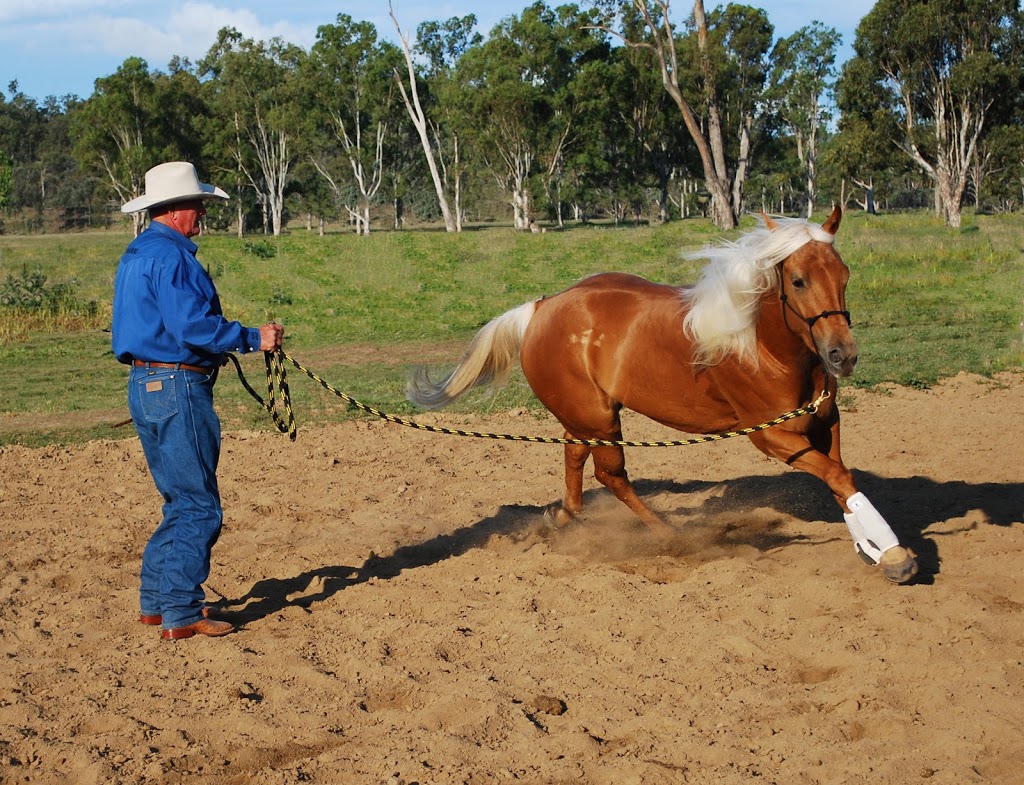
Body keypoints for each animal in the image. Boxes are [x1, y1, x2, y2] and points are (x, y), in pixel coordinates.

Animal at [405, 205, 921, 585]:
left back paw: (562, 518)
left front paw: (872, 547)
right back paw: (673, 535)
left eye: (844, 273)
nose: (842, 356)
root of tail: (540, 308)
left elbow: (840, 479)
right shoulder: (774, 439)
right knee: (610, 474)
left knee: (575, 458)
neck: (764, 347)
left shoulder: (825, 423)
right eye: (797, 280)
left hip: (586, 415)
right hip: (598, 418)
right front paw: (895, 555)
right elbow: (838, 477)